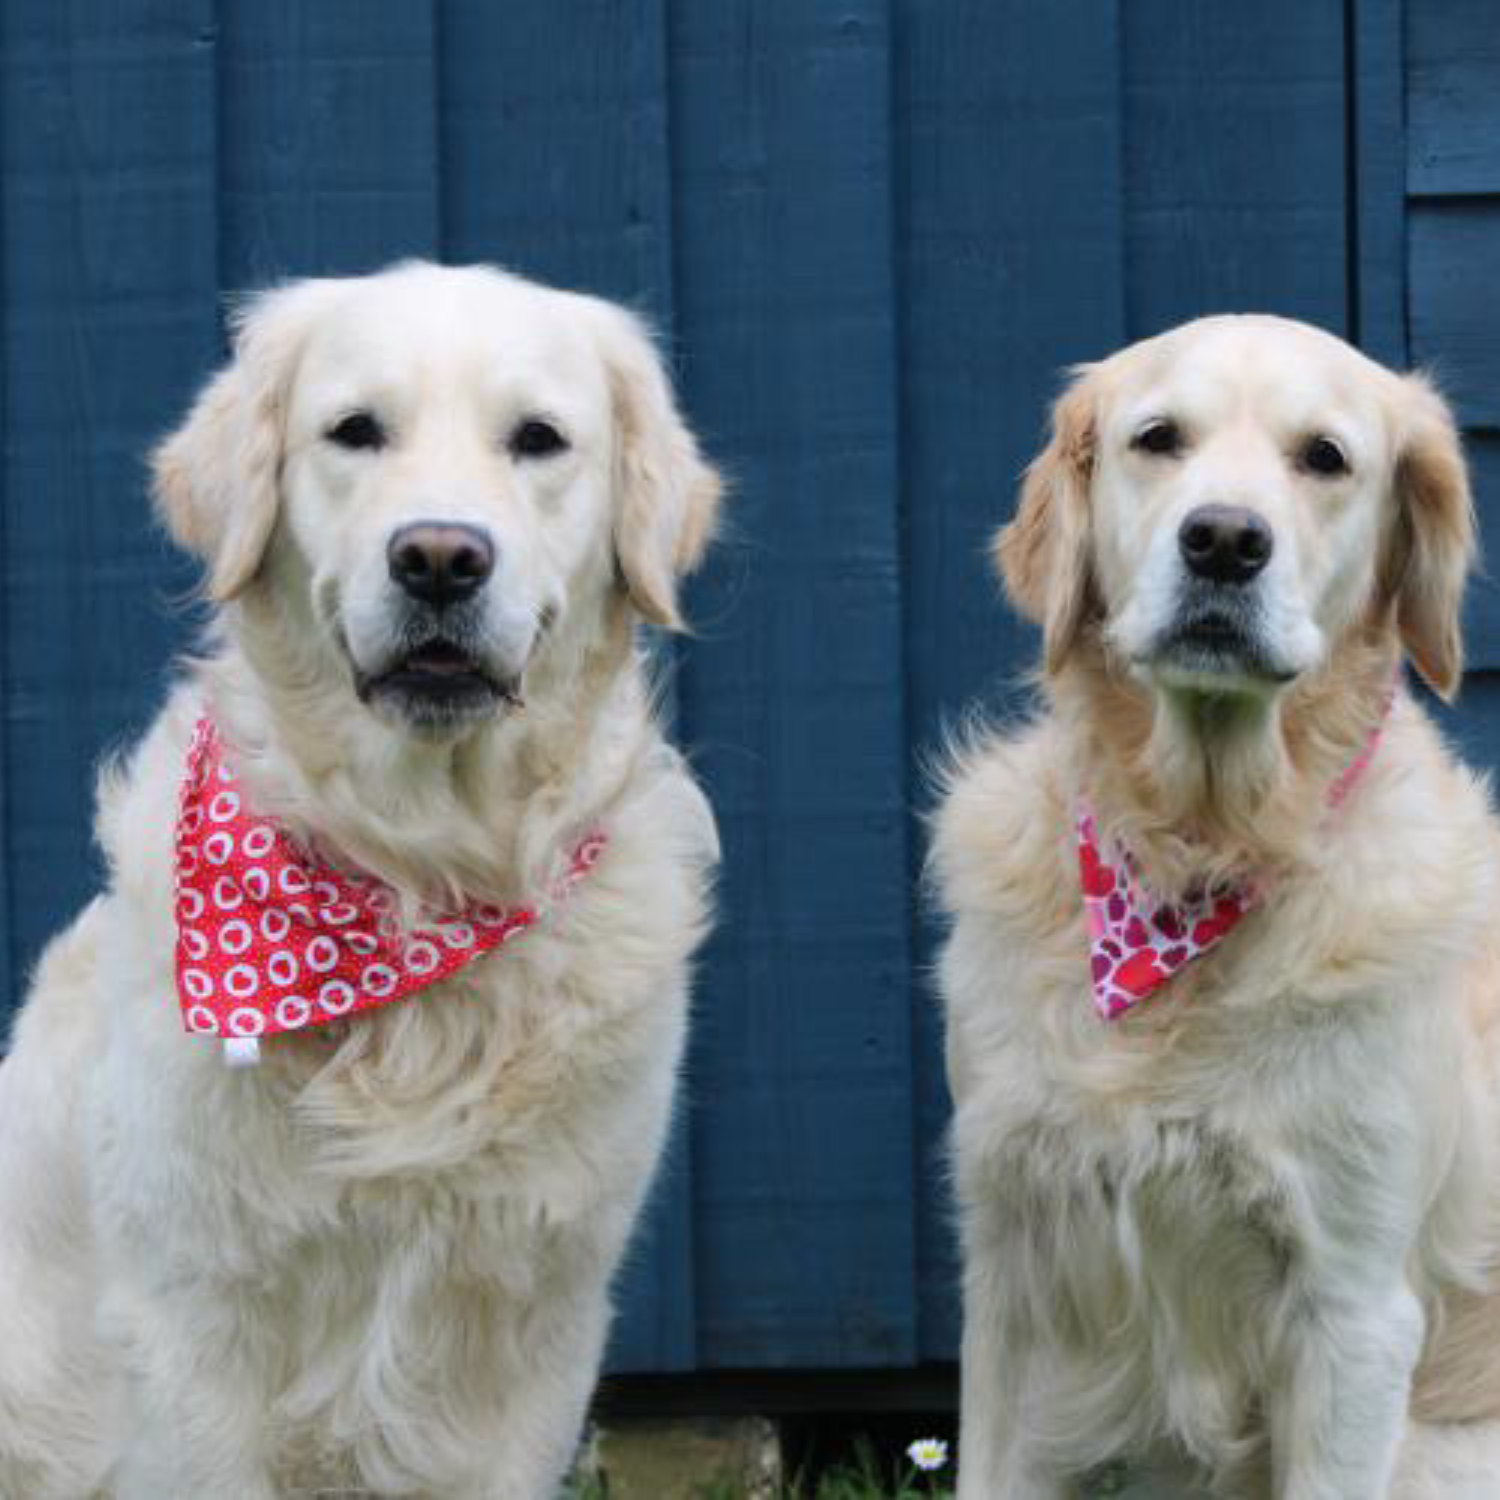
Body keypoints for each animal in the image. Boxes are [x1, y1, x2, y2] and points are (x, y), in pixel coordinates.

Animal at [0, 264, 726, 1494]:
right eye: (354, 430)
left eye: (539, 438)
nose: (438, 557)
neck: (413, 889)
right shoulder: (191, 1330)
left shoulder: (535, 1324)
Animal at [936, 313, 1500, 1488]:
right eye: (1159, 438)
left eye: (1324, 457)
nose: (1226, 541)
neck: (1190, 863)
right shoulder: (1013, 1270)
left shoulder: (1353, 1311)